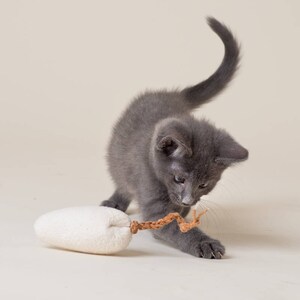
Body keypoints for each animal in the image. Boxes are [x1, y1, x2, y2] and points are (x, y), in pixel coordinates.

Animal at [101, 17, 248, 258]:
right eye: (179, 179)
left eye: (204, 185)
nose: (188, 199)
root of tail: (174, 95)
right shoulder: (152, 199)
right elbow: (179, 229)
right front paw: (205, 243)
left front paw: (186, 212)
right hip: (116, 156)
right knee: (121, 179)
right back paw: (115, 201)